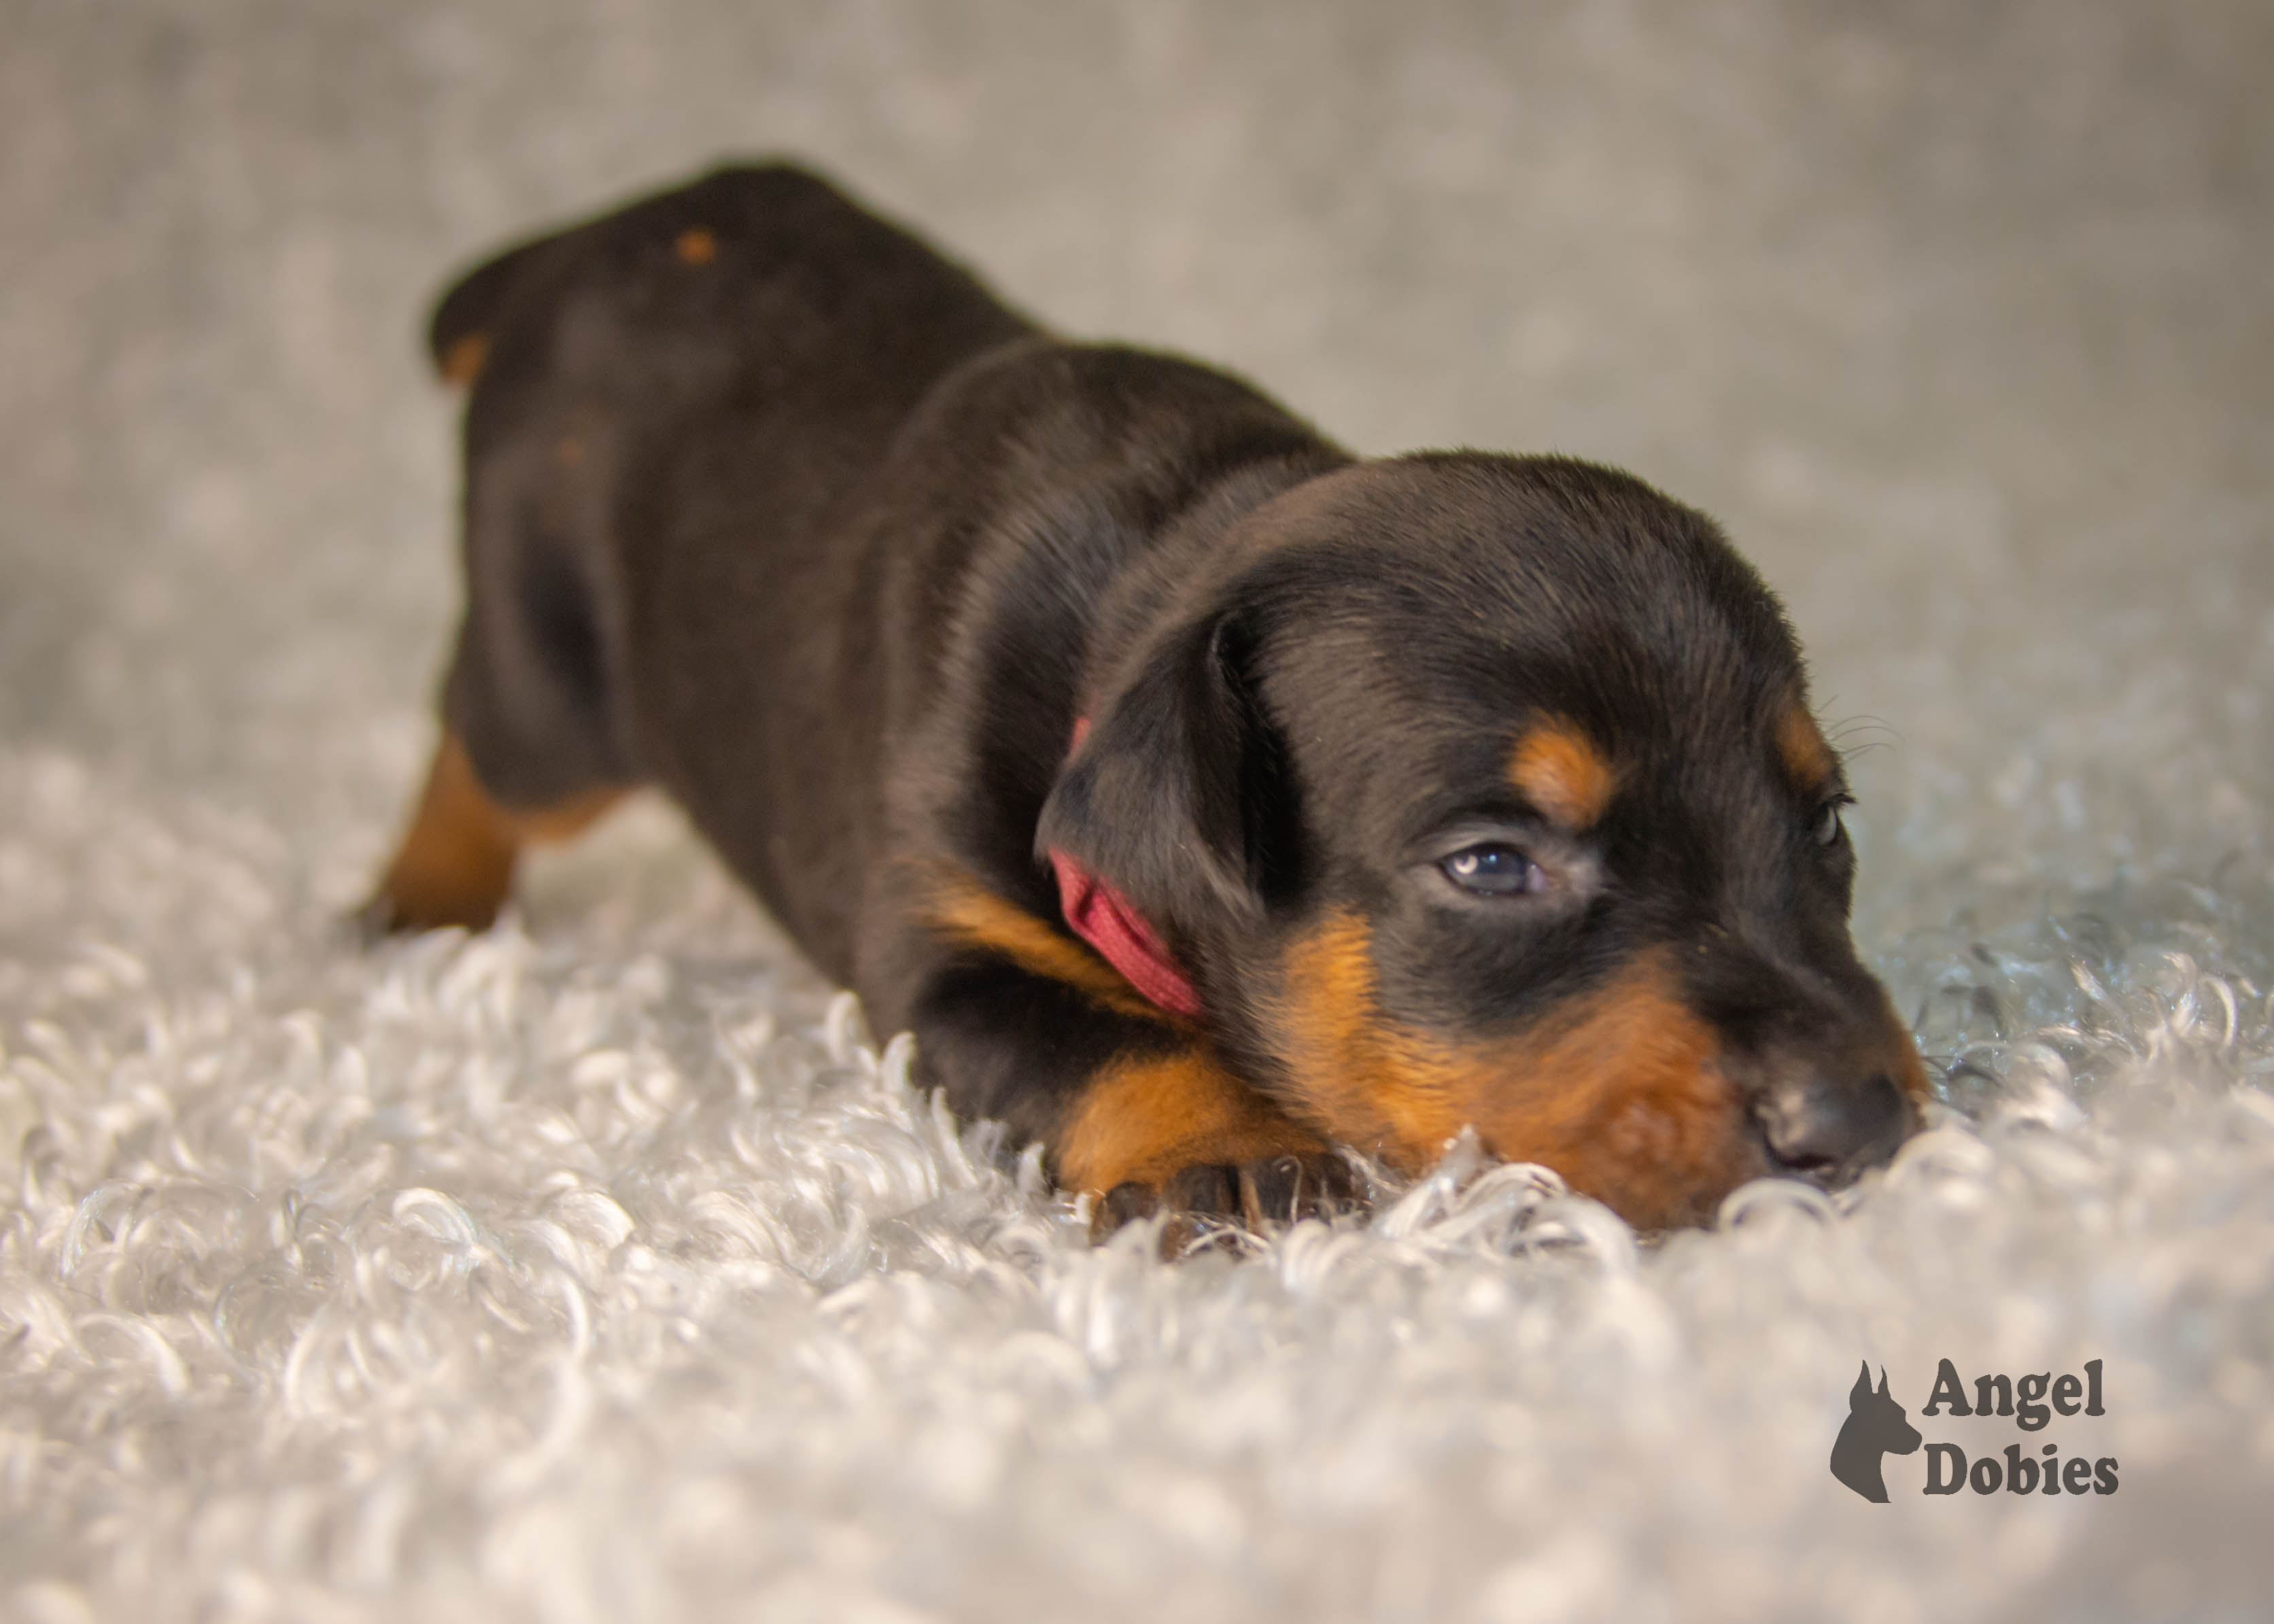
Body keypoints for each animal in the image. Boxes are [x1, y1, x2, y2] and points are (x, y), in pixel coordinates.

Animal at [364, 161, 1928, 1228]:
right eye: (1492, 864)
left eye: (1826, 824)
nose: (1861, 1121)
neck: (1170, 568)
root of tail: (594, 237)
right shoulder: (938, 955)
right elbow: (1106, 1043)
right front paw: (1226, 1152)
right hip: (548, 678)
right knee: (474, 743)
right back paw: (417, 904)